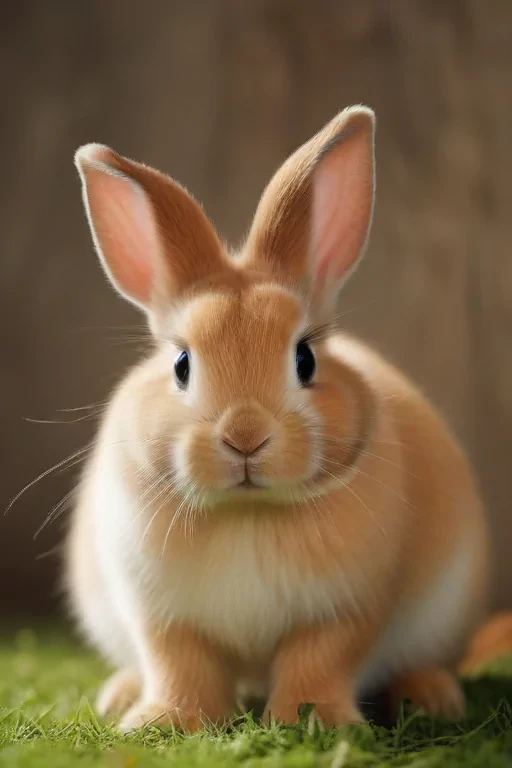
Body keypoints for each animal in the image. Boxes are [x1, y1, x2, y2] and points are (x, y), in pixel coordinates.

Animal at [66, 105, 490, 733]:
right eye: (181, 364)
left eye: (305, 358)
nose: (245, 436)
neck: (249, 513)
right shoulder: (161, 616)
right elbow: (179, 667)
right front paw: (164, 723)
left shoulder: (344, 612)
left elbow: (316, 664)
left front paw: (311, 723)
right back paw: (118, 694)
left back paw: (433, 699)